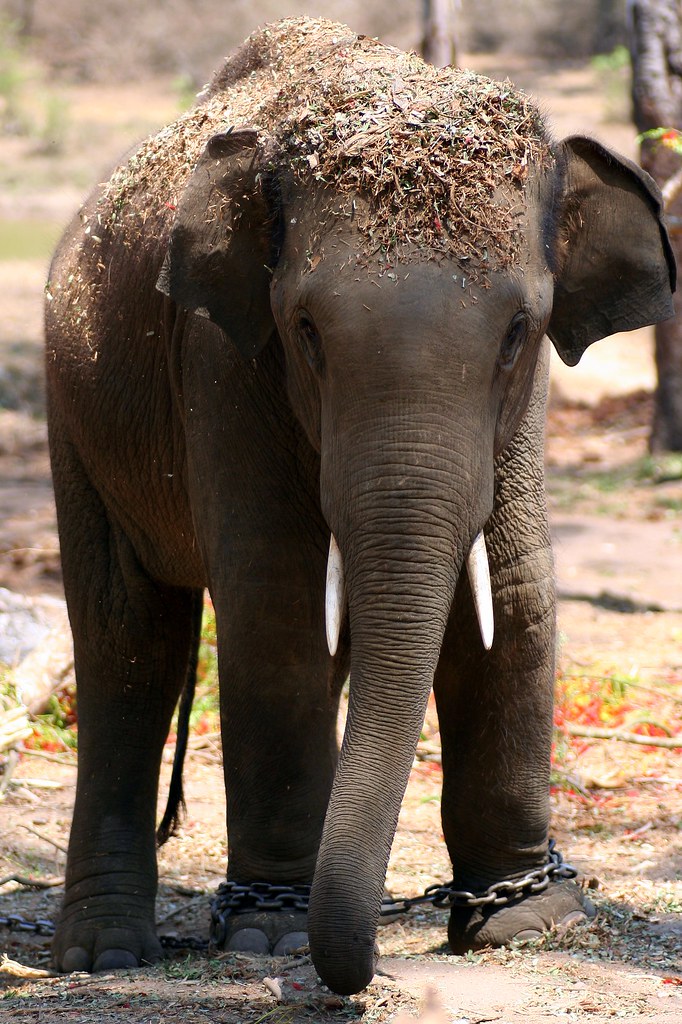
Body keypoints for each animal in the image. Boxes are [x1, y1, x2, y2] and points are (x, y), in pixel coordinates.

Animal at [44, 18, 674, 996]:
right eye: (305, 331)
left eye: (519, 332)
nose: (374, 964)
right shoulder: (222, 357)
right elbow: (278, 601)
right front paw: (270, 937)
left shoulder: (523, 406)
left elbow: (513, 594)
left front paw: (528, 920)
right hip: (74, 413)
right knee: (127, 640)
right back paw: (106, 955)